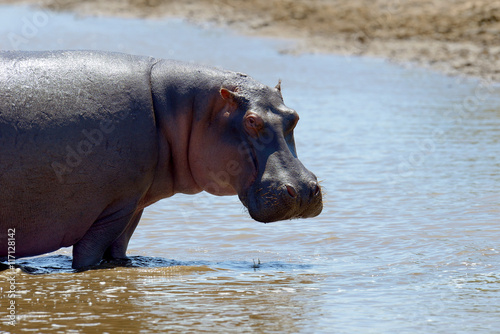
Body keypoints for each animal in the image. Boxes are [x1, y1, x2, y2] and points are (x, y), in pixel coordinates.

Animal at [0, 50, 322, 268]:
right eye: (252, 121)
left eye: (294, 116)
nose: (304, 189)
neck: (182, 109)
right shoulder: (111, 210)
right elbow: (88, 258)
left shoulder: (131, 207)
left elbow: (118, 253)